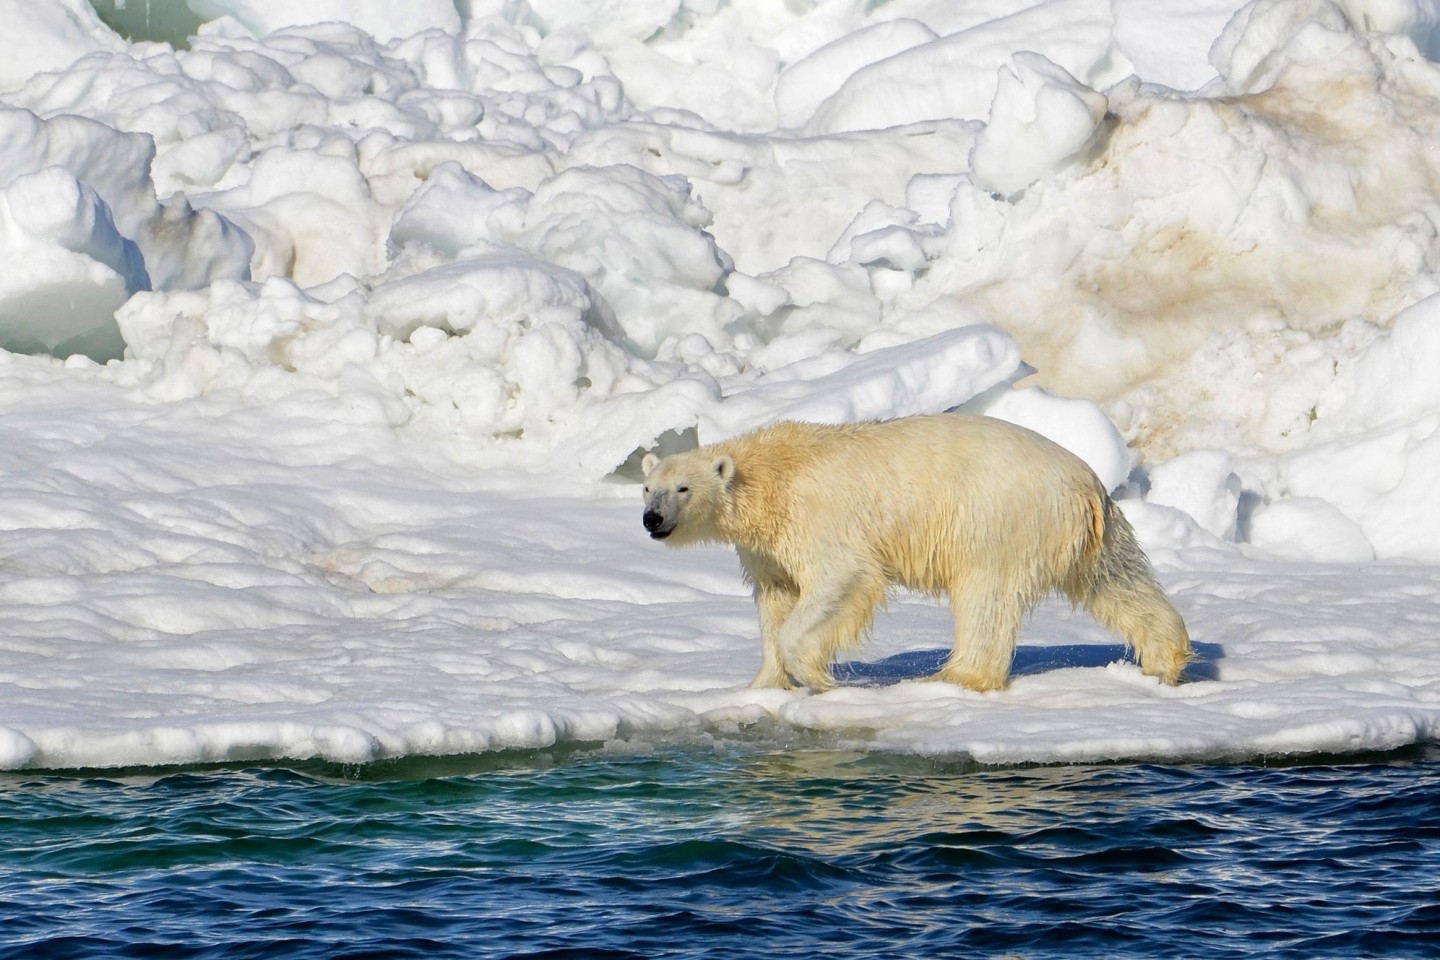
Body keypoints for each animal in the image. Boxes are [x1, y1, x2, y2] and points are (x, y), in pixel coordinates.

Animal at [642, 414, 1192, 690]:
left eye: (683, 488)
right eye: (648, 488)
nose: (652, 519)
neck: (773, 475)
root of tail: (1085, 484)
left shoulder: (819, 517)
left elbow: (841, 578)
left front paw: (818, 677)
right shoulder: (768, 547)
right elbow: (776, 598)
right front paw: (762, 685)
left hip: (998, 519)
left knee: (986, 597)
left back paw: (954, 676)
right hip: (1092, 532)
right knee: (1118, 582)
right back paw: (1165, 660)